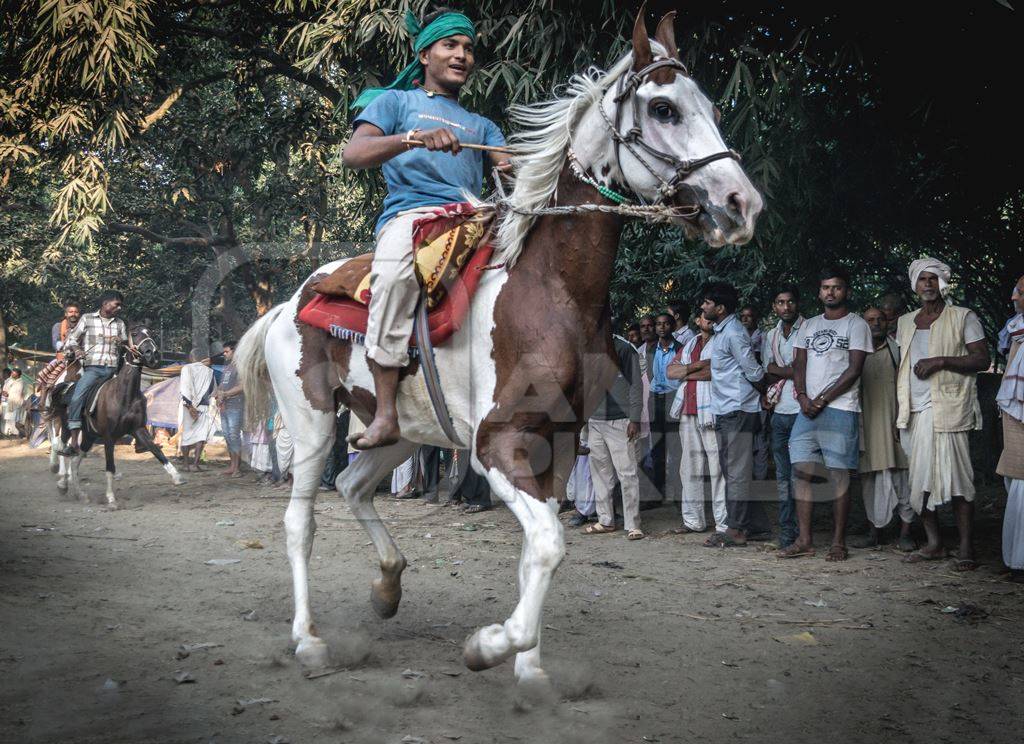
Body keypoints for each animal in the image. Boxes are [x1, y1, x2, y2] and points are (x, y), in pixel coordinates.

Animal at [234, 13, 761, 687]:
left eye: (713, 107)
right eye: (663, 107)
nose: (741, 204)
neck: (550, 288)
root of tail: (285, 304)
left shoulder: (558, 441)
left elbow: (541, 550)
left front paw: (528, 670)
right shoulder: (494, 444)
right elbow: (548, 545)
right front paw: (490, 645)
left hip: (401, 428)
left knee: (352, 484)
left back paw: (387, 588)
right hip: (312, 421)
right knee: (300, 521)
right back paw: (308, 640)